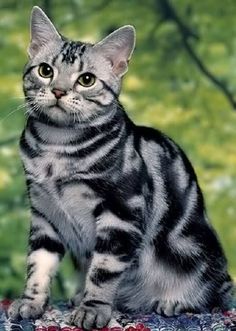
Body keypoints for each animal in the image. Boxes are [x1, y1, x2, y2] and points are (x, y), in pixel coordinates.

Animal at [7, 6, 232, 330]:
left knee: (213, 297)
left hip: (203, 264)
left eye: (86, 79)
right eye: (46, 71)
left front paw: (93, 309)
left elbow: (103, 270)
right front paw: (31, 303)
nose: (59, 91)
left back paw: (172, 301)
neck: (56, 147)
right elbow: (38, 263)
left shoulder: (121, 211)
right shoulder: (43, 213)